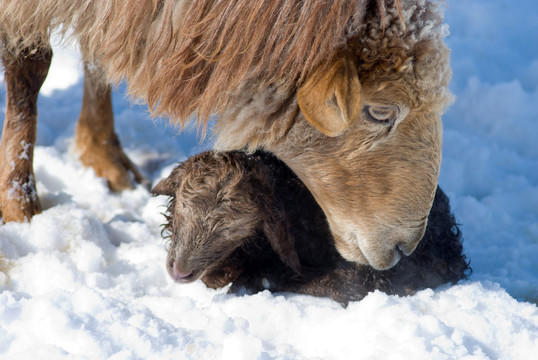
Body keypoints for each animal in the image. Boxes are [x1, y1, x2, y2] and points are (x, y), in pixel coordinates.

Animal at [2, 0, 450, 270]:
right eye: (380, 112)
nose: (407, 246)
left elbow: (101, 49)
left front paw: (104, 157)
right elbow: (29, 66)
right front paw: (21, 209)